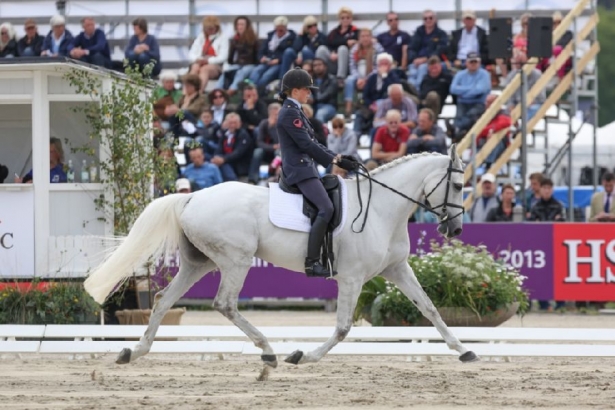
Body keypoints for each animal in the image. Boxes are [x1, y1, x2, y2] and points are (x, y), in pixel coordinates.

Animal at [83, 145, 476, 378]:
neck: (381, 208)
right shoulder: (351, 278)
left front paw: (464, 350)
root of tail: (191, 196)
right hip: (236, 260)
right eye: (457, 187)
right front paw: (303, 356)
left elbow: (430, 309)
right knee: (224, 304)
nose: (455, 229)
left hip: (200, 263)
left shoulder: (397, 269)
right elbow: (343, 328)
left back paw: (134, 352)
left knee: (164, 301)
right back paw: (269, 352)